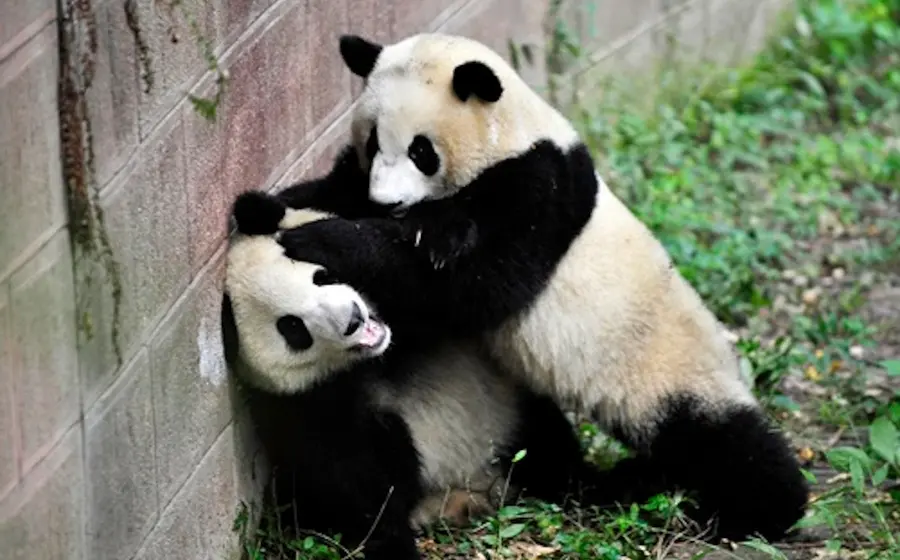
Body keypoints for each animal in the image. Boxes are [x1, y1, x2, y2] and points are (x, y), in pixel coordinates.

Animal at [222, 191, 614, 560]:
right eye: (294, 329)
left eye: (321, 275)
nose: (353, 320)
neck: (380, 357)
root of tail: (480, 486)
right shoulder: (309, 403)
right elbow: (354, 481)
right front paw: (391, 544)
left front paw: (441, 232)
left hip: (512, 413)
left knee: (546, 440)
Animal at [262, 32, 810, 543]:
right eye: (373, 141)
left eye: (421, 150)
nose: (388, 202)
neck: (514, 133)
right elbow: (338, 191)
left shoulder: (538, 191)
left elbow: (468, 288)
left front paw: (327, 241)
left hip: (669, 376)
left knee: (728, 445)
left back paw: (757, 512)